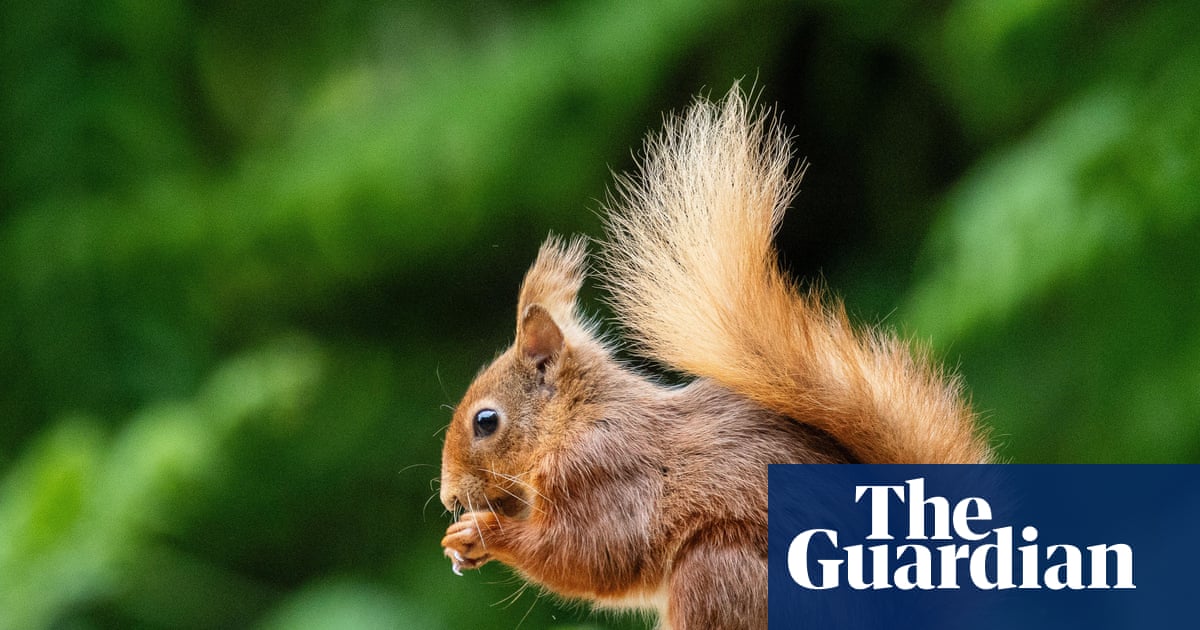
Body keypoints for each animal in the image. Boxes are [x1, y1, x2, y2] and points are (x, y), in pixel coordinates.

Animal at [439, 85, 993, 629]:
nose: (449, 498)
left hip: (718, 570)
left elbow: (591, 555)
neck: (575, 418)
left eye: (486, 421)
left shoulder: (604, 472)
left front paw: (483, 531)